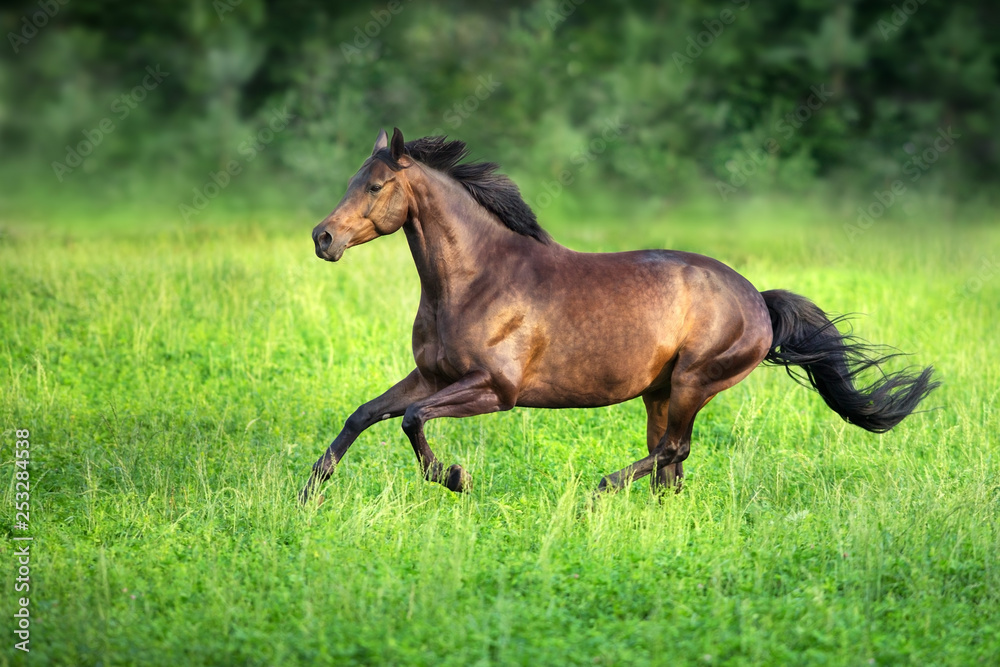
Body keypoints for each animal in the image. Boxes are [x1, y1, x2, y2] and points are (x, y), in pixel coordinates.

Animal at [300, 127, 938, 502]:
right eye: (354, 179)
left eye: (377, 185)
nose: (323, 238)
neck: (473, 280)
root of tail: (758, 298)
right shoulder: (432, 375)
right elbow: (365, 414)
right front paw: (310, 490)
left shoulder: (495, 388)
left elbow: (411, 419)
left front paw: (454, 478)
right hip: (660, 390)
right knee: (671, 464)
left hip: (694, 380)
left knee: (672, 452)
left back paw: (601, 487)